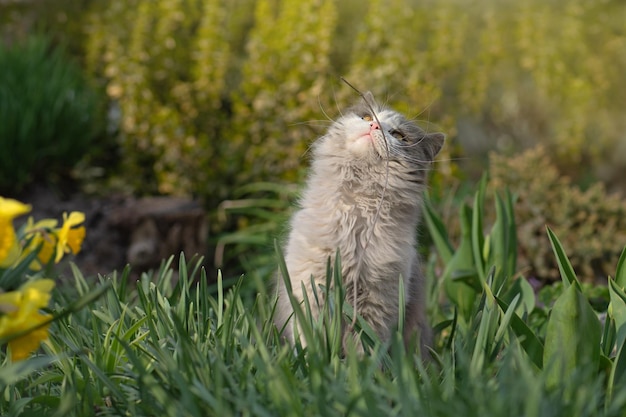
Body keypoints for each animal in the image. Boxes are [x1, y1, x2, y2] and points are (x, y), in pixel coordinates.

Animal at [274, 92, 444, 352]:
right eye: (366, 117)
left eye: (398, 135)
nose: (374, 126)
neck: (354, 211)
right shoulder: (308, 290)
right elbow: (309, 339)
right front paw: (312, 359)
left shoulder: (376, 303)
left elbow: (364, 347)